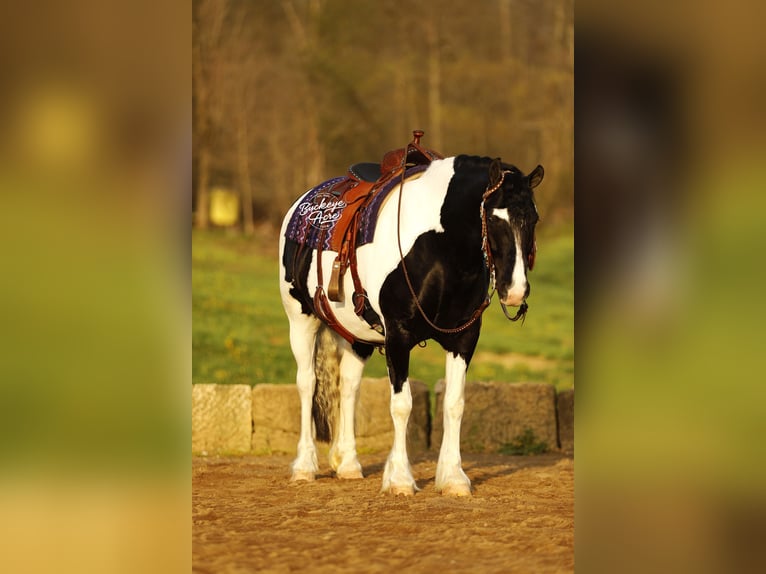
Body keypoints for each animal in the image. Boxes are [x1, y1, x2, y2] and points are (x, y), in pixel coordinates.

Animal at [278, 153, 543, 496]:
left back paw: (348, 464)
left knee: (348, 386)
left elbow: (454, 404)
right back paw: (304, 466)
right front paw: (400, 479)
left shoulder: (464, 338)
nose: (516, 291)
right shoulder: (398, 337)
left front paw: (453, 477)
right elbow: (402, 405)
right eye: (495, 219)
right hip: (301, 320)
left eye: (534, 219)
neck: (438, 251)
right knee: (307, 384)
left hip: (356, 338)